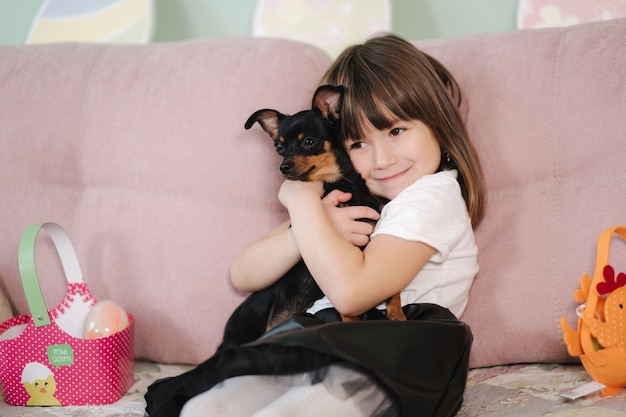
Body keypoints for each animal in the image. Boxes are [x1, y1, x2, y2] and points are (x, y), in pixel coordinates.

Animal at [218, 86, 404, 352]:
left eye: (309, 141)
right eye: (278, 146)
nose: (283, 167)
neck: (342, 185)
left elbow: (394, 286)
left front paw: (396, 311)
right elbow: (348, 310)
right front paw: (352, 323)